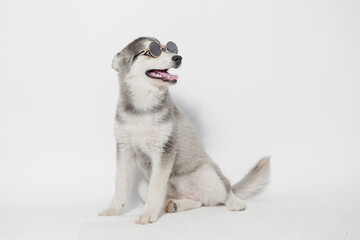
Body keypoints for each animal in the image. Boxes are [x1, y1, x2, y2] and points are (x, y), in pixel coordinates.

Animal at [98, 36, 270, 224]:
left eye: (169, 48)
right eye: (151, 51)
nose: (178, 58)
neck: (143, 107)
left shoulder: (164, 148)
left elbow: (156, 188)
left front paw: (148, 213)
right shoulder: (124, 148)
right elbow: (121, 184)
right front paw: (113, 210)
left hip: (208, 175)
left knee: (225, 192)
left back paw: (235, 202)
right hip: (143, 185)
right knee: (196, 202)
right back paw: (174, 205)